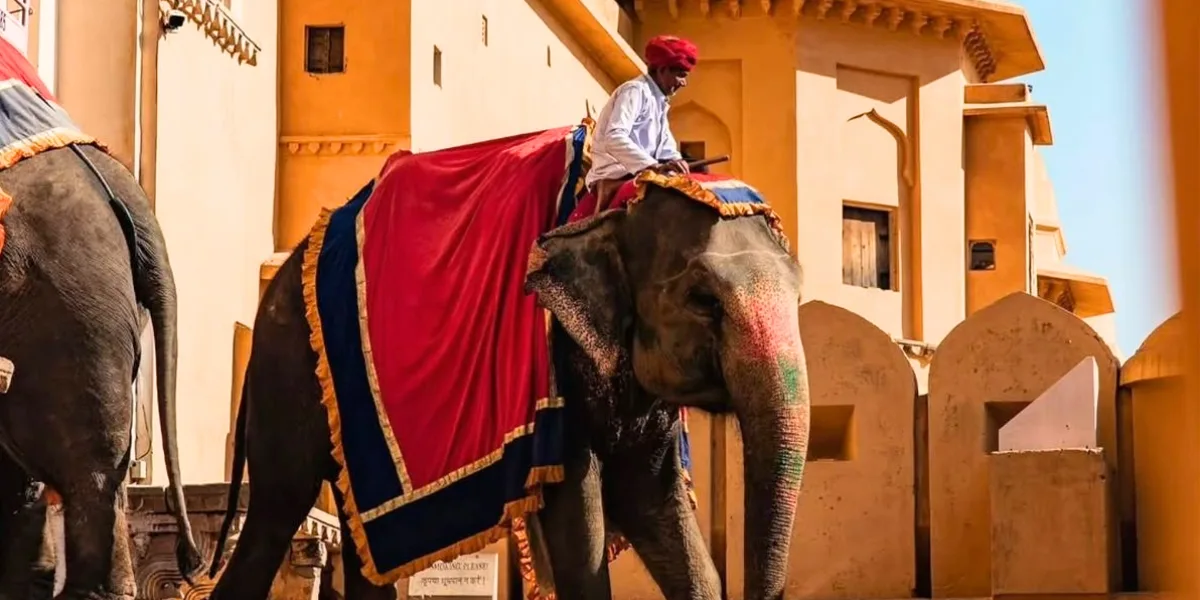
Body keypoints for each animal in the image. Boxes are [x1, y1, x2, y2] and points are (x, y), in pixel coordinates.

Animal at [208, 181, 810, 600]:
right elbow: (579, 524)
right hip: (286, 360)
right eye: (703, 299)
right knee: (277, 512)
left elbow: (654, 504)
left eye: (800, 294)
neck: (613, 209)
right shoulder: (554, 365)